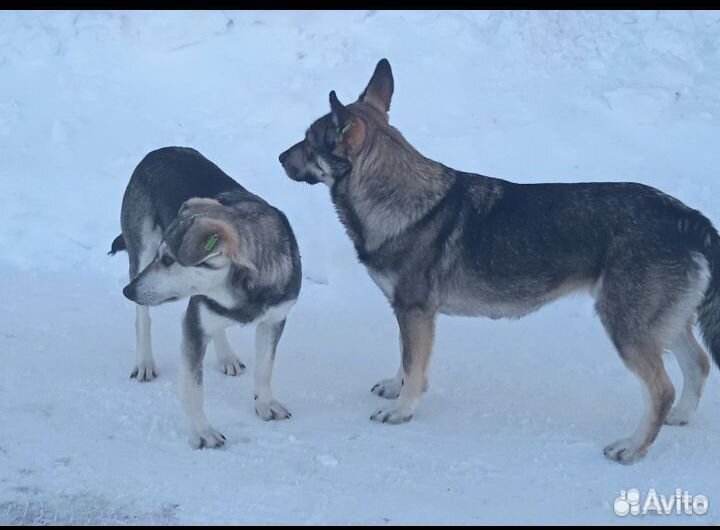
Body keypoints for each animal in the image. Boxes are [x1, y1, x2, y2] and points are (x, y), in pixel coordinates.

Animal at [112, 146, 300, 448]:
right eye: (161, 256)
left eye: (168, 260)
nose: (127, 292)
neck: (243, 290)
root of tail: (158, 151)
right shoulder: (194, 326)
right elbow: (193, 389)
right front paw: (202, 432)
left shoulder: (274, 319)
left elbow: (264, 368)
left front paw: (265, 403)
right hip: (140, 250)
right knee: (143, 317)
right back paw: (144, 362)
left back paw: (226, 356)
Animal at [278, 58, 720, 462]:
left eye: (308, 139)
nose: (280, 157)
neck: (398, 198)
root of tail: (686, 216)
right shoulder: (407, 313)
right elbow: (404, 360)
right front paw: (395, 386)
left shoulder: (415, 312)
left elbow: (415, 366)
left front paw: (402, 409)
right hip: (662, 324)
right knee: (698, 364)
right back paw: (680, 417)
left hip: (626, 327)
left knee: (662, 389)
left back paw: (632, 447)